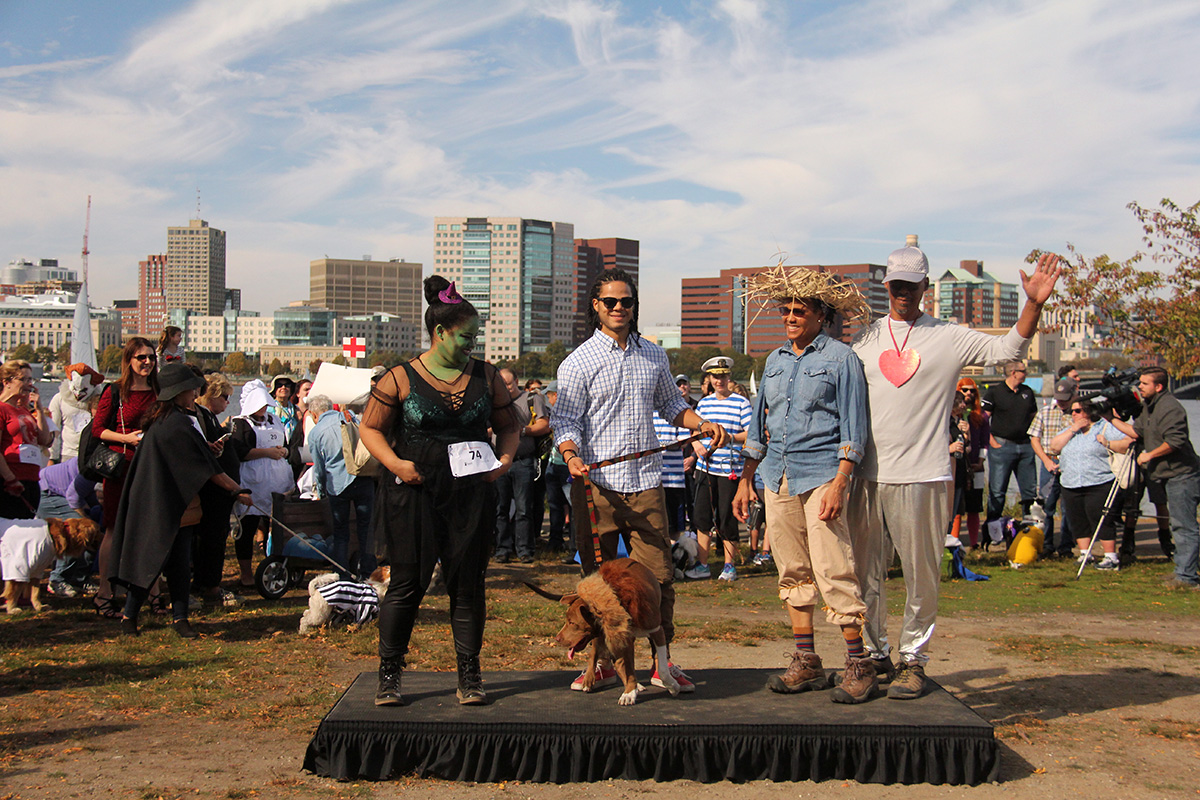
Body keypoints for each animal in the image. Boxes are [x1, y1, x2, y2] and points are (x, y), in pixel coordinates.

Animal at [526, 557, 680, 706]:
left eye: (572, 623)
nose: (557, 639)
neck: (618, 601)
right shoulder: (621, 639)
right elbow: (627, 669)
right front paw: (630, 692)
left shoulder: (656, 631)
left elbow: (662, 667)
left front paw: (672, 686)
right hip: (608, 637)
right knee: (598, 655)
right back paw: (591, 680)